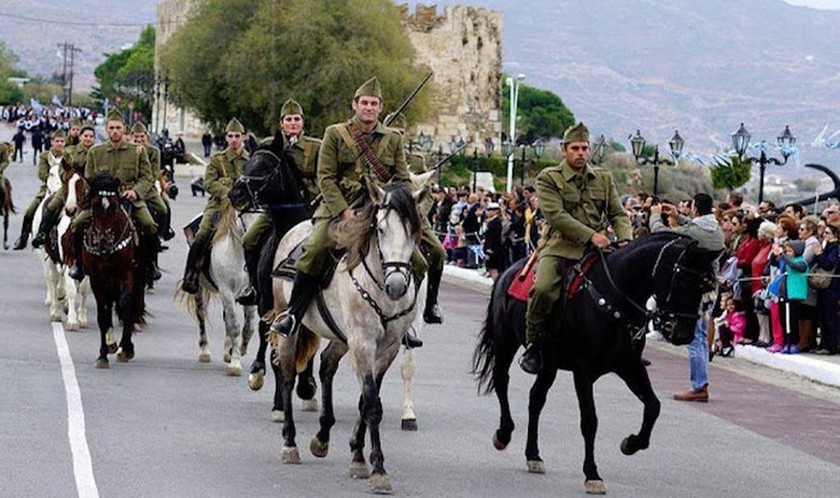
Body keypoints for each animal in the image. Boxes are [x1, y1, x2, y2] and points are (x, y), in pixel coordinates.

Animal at [75, 173, 146, 368]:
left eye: (114, 206)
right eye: (94, 206)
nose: (103, 242)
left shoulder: (126, 274)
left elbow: (125, 305)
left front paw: (125, 347)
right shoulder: (96, 279)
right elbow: (103, 314)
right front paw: (103, 354)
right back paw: (110, 342)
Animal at [183, 200, 260, 376]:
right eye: (245, 214)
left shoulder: (249, 295)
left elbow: (249, 328)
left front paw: (236, 352)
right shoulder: (227, 292)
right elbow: (235, 326)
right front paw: (235, 364)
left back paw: (227, 351)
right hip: (200, 290)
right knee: (202, 315)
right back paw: (204, 351)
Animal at [226, 146, 318, 418]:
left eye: (266, 167)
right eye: (247, 164)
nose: (235, 194)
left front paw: (307, 386)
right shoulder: (271, 303)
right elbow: (276, 350)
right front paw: (279, 403)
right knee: (263, 331)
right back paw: (257, 371)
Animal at [270, 183, 424, 494]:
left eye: (413, 231)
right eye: (380, 229)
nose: (397, 285)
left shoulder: (387, 349)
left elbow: (366, 401)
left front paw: (358, 456)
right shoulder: (363, 345)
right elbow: (372, 405)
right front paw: (378, 470)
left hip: (342, 338)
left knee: (326, 365)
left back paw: (322, 436)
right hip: (288, 323)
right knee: (288, 376)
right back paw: (290, 442)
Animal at [476, 232, 720, 494]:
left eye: (705, 287)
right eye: (683, 281)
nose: (683, 334)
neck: (615, 297)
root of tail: (509, 270)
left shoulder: (629, 365)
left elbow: (653, 406)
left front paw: (632, 443)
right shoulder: (583, 372)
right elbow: (590, 421)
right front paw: (592, 474)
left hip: (549, 363)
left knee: (536, 399)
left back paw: (533, 455)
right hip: (506, 342)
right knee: (502, 380)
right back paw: (504, 434)